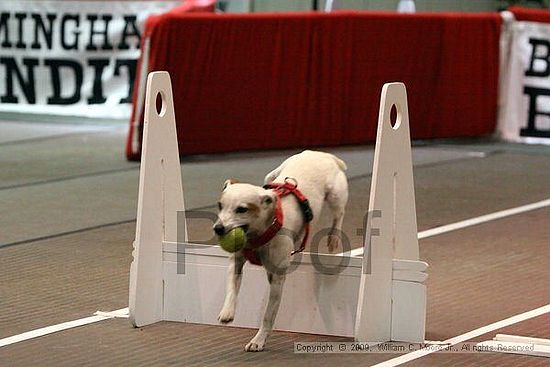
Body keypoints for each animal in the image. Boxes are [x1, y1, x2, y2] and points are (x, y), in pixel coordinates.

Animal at [215, 151, 350, 352]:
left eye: (242, 209)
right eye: (220, 206)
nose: (218, 228)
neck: (259, 235)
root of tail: (323, 154)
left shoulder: (278, 280)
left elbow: (268, 315)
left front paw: (258, 340)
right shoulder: (236, 263)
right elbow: (232, 289)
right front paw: (227, 312)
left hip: (335, 196)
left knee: (338, 215)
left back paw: (333, 237)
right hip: (272, 175)